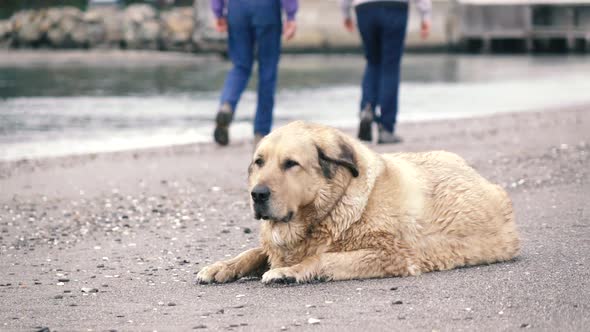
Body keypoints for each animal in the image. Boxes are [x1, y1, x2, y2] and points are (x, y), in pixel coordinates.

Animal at [197, 120, 520, 284]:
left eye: (291, 164)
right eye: (259, 162)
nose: (258, 194)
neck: (331, 208)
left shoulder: (390, 254)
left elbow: (322, 258)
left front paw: (288, 272)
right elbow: (253, 252)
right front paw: (223, 266)